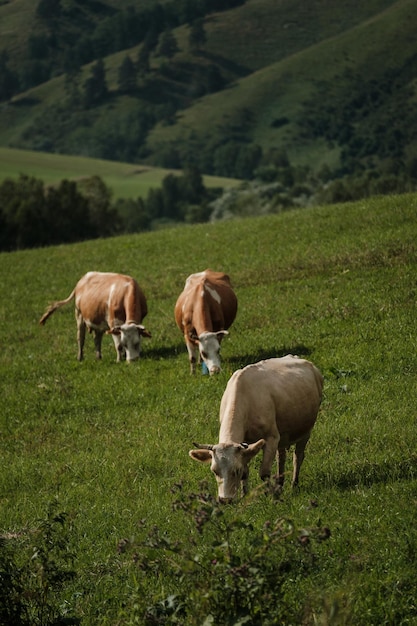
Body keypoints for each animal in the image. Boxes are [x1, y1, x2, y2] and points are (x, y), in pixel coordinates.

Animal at [188, 354, 322, 500]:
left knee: (298, 456)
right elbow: (246, 472)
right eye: (214, 471)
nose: (225, 500)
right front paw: (244, 495)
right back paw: (280, 485)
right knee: (281, 457)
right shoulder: (246, 447)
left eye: (236, 470)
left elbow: (264, 472)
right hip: (283, 434)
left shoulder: (271, 437)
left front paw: (271, 495)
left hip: (306, 430)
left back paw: (293, 485)